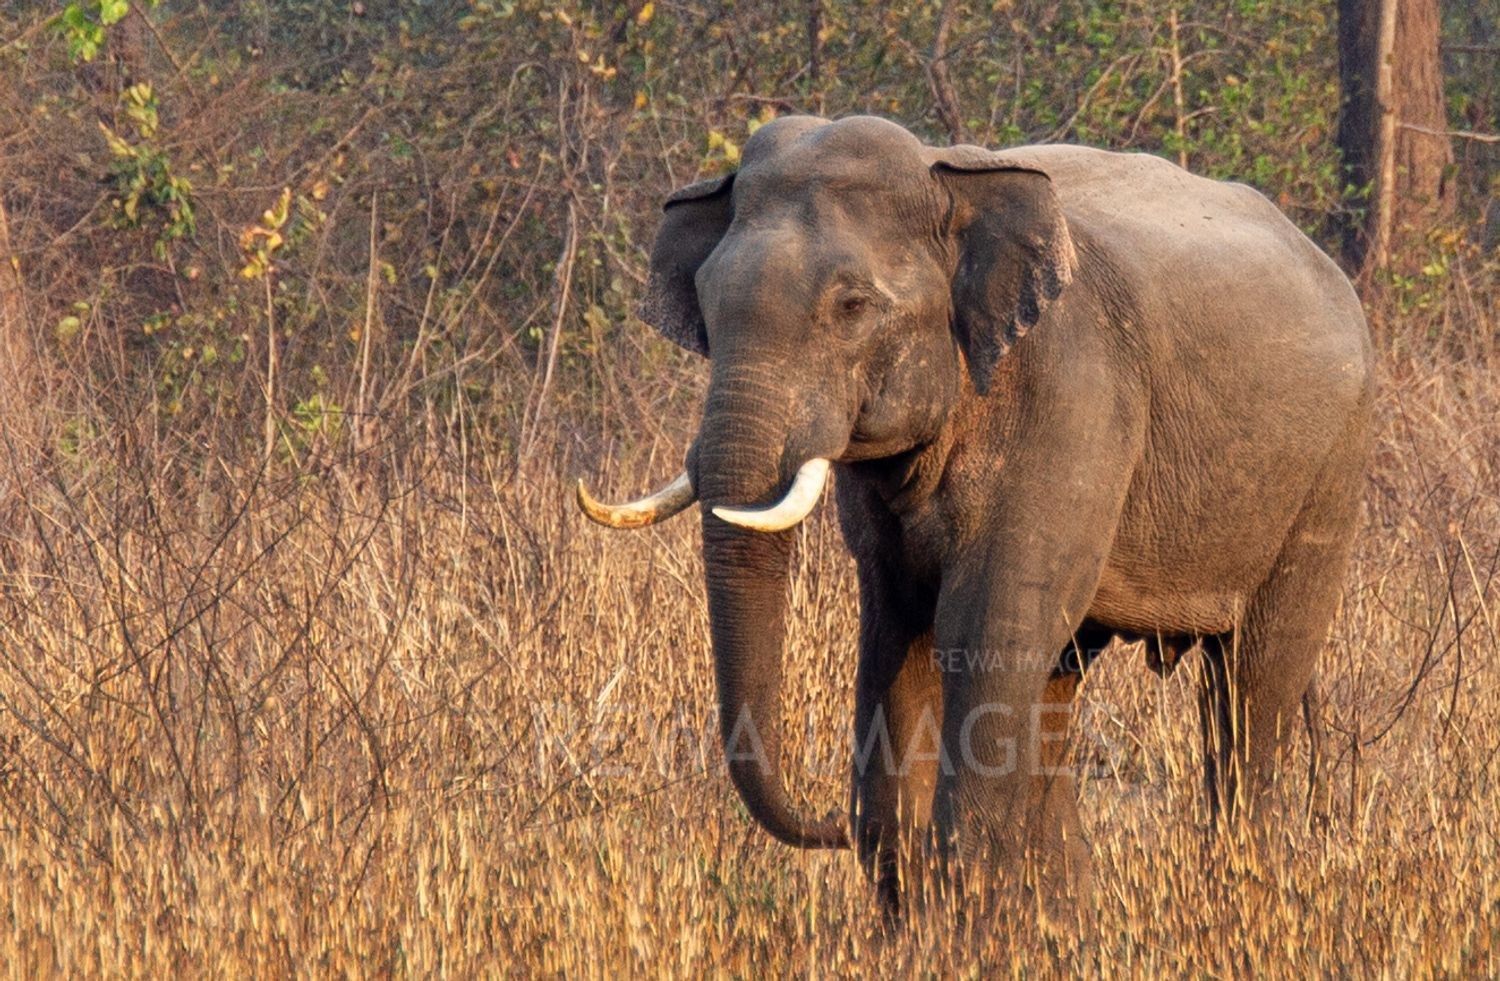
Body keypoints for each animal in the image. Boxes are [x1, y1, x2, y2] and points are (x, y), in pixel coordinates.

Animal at [577, 114, 1373, 917]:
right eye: (706, 303)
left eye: (851, 307)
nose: (829, 821)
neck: (948, 182)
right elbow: (898, 633)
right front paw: (918, 915)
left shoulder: (1072, 394)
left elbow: (982, 627)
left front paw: (957, 913)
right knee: (1059, 682)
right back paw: (1069, 919)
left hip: (1330, 469)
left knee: (1254, 681)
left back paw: (1235, 899)